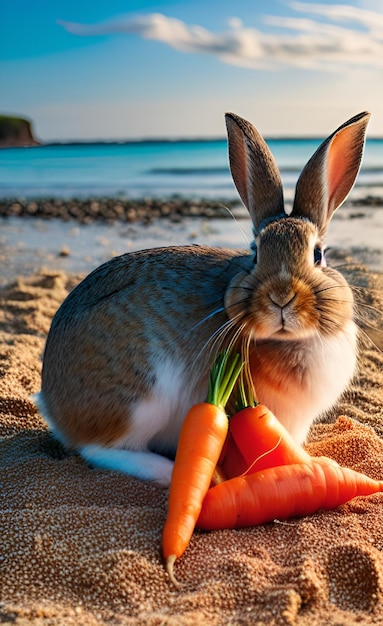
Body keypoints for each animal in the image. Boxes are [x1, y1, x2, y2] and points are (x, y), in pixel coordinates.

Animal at [33, 109, 372, 486]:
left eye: (318, 255)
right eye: (255, 253)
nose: (281, 298)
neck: (289, 341)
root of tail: (53, 403)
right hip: (142, 398)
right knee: (102, 448)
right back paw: (169, 471)